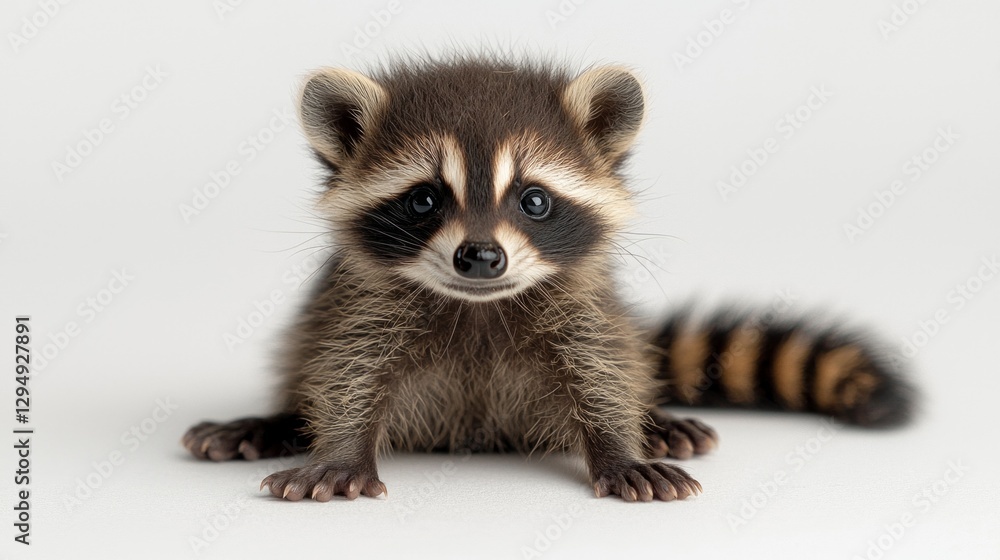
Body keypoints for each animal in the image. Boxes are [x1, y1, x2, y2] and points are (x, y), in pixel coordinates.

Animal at [182, 56, 914, 502]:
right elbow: (349, 370)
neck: (478, 304)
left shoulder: (578, 306)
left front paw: (619, 446)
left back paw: (654, 419)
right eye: (424, 200)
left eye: (533, 199)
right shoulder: (368, 303)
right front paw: (337, 450)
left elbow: (600, 368)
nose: (480, 258)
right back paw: (275, 419)